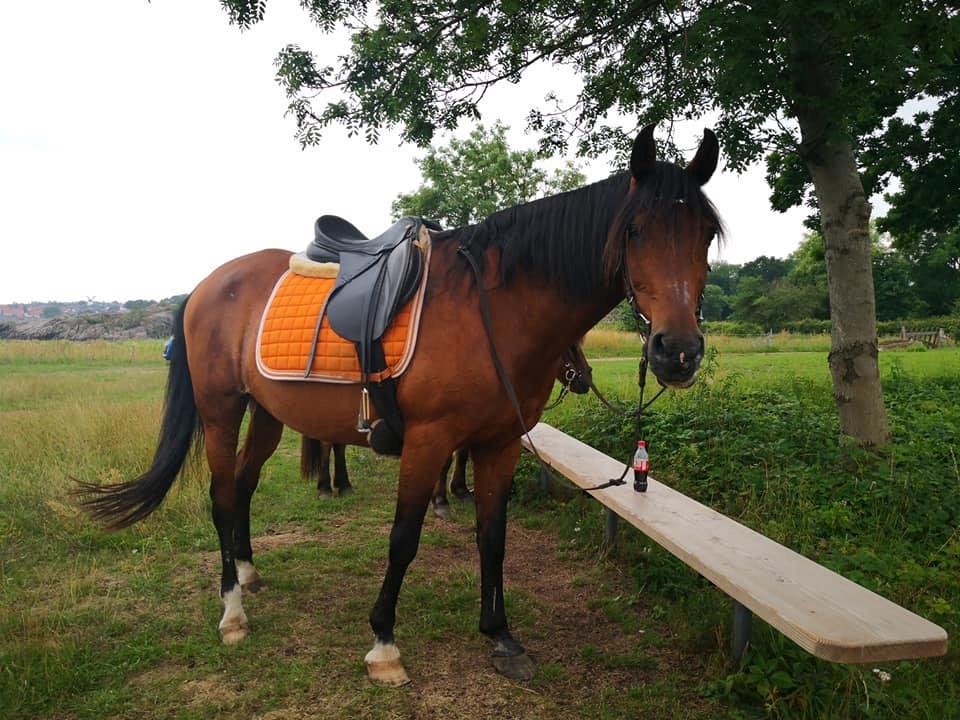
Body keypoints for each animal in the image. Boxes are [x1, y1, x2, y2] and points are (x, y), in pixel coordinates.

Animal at [80, 124, 720, 688]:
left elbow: (493, 536)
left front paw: (500, 635)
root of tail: (208, 284)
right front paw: (383, 644)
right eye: (634, 230)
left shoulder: (500, 443)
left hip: (266, 414)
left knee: (241, 488)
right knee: (219, 497)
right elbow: (403, 539)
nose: (678, 351)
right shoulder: (429, 440)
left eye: (707, 234)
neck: (493, 308)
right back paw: (232, 612)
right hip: (220, 409)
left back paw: (246, 571)